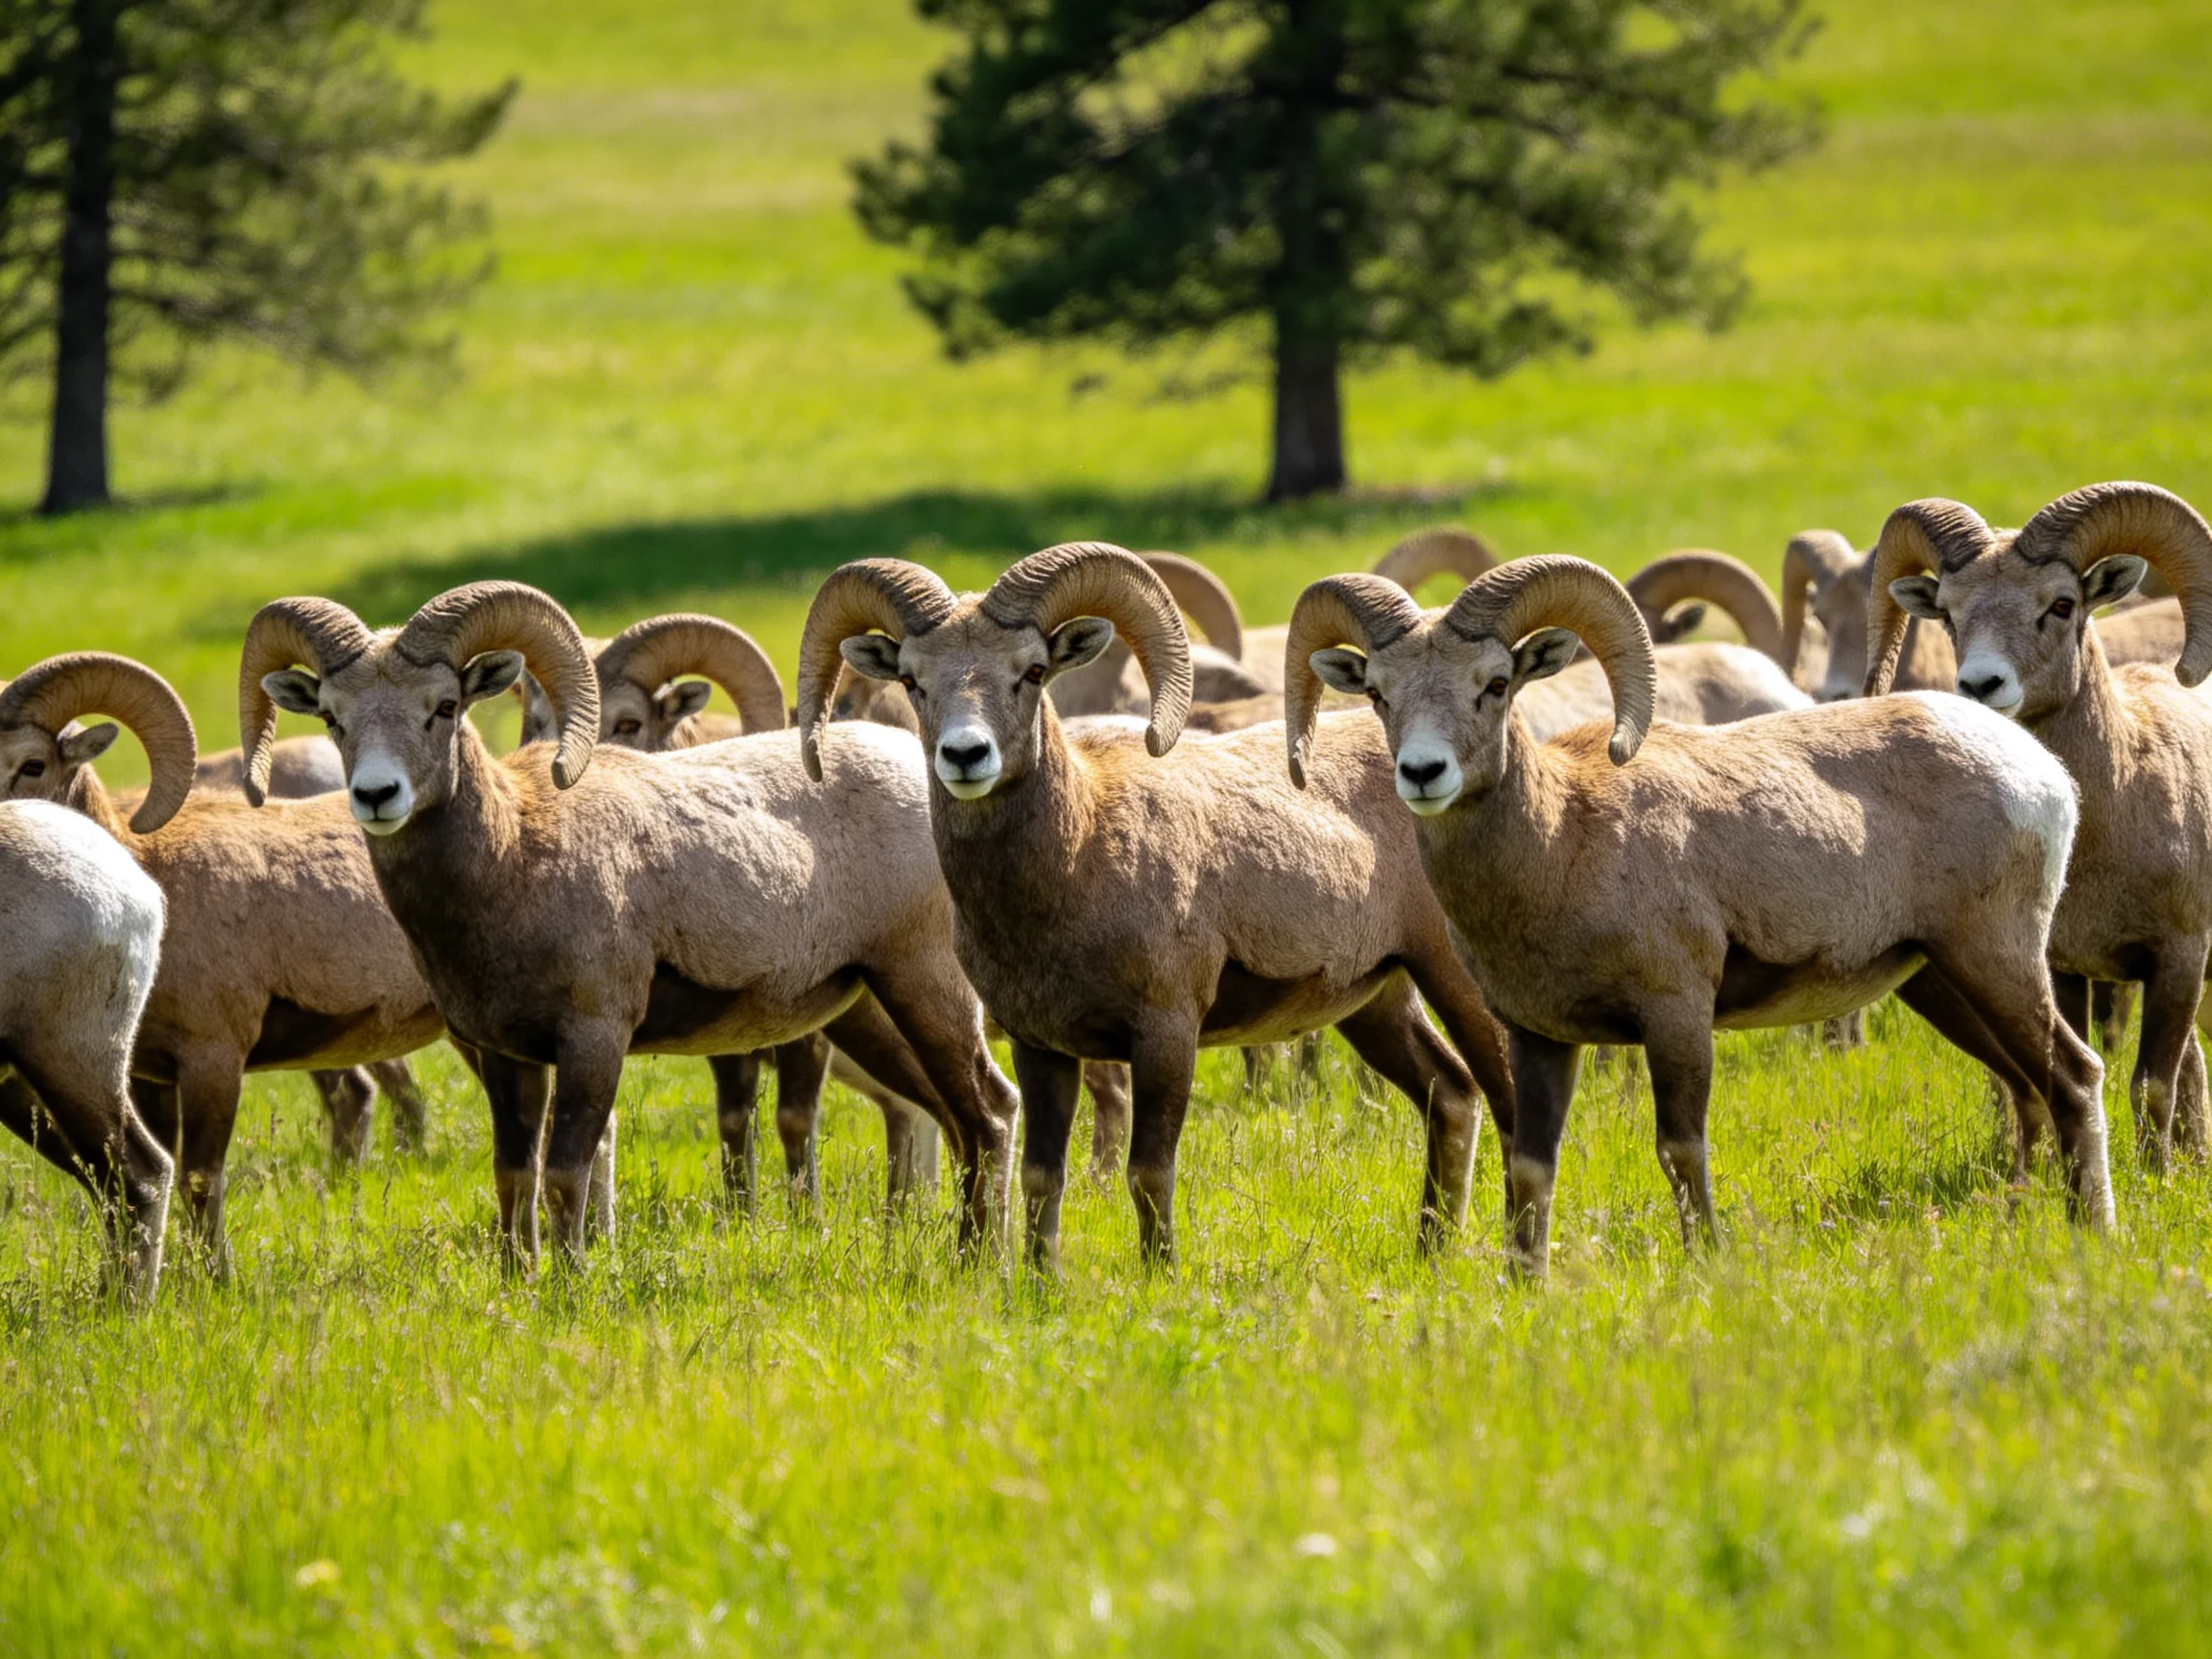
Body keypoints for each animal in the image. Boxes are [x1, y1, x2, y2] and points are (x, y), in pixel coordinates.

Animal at [240, 581, 1020, 1268]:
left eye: (444, 707)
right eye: (334, 716)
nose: (377, 795)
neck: (514, 856)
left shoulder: (595, 1038)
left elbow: (566, 1175)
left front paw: (572, 1284)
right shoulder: (507, 1055)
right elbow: (514, 1178)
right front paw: (518, 1283)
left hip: (924, 986)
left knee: (988, 1112)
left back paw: (978, 1264)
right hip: (868, 1014)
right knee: (956, 1120)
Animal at [796, 543, 1518, 1269]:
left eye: (1032, 671)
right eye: (913, 680)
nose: (966, 755)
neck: (1079, 857)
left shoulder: (1166, 1033)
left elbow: (1148, 1171)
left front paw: (1159, 1275)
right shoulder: (1040, 1045)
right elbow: (1042, 1177)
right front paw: (1039, 1279)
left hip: (1452, 978)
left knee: (1507, 1096)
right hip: (1378, 1003)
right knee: (1452, 1096)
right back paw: (1432, 1249)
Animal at [1285, 555, 2110, 1278]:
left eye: (1494, 683)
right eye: (1379, 693)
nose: (1423, 773)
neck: (1562, 841)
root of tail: (2041, 772)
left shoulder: (1676, 1016)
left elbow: (1682, 1150)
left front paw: (1706, 1263)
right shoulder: (1540, 1037)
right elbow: (1531, 1165)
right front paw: (1523, 1286)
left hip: (1997, 960)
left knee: (2074, 1075)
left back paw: (2092, 1231)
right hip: (1939, 980)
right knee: (2028, 1086)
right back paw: (2027, 1213)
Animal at [1864, 482, 2212, 1171]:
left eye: (2061, 604)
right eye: (1948, 613)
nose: (1980, 685)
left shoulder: (2181, 958)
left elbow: (2152, 1086)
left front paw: (2158, 1180)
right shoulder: (2066, 969)